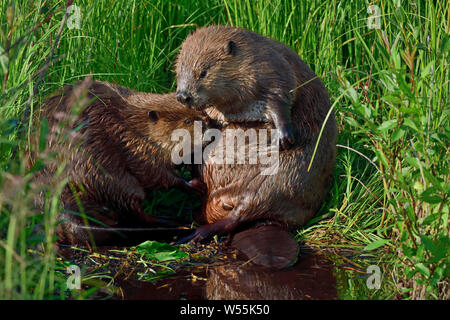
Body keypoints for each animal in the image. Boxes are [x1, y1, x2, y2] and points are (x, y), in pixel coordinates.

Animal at [29, 79, 208, 246]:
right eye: (187, 121)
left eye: (201, 112)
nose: (208, 124)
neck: (131, 122)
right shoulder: (135, 145)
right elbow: (154, 173)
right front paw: (195, 185)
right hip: (104, 174)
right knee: (134, 208)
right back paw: (175, 221)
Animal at [176, 25, 324, 150]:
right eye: (179, 69)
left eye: (203, 73)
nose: (183, 96)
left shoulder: (272, 68)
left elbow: (281, 97)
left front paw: (284, 138)